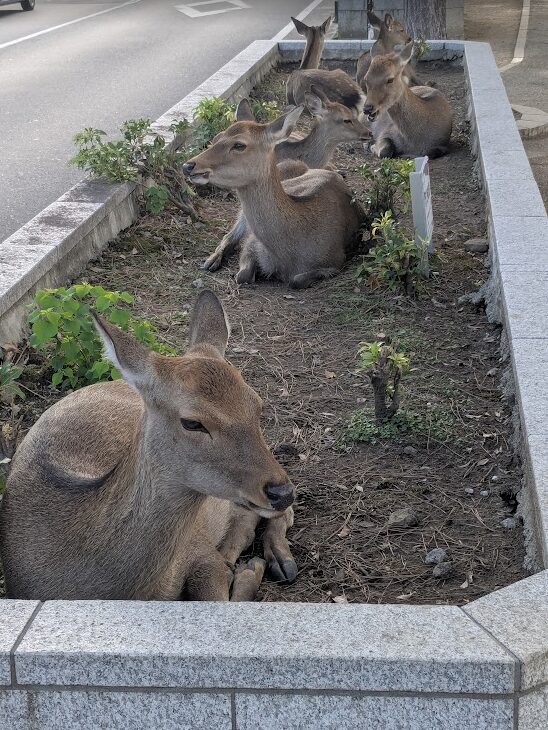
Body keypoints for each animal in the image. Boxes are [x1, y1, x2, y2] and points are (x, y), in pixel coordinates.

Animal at [0, 291, 298, 600]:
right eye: (192, 422)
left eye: (257, 404)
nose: (281, 492)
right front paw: (243, 570)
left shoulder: (199, 548)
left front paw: (246, 572)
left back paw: (277, 560)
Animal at [183, 107, 363, 288]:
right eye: (216, 138)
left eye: (239, 145)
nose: (187, 165)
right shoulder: (252, 243)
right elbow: (242, 275)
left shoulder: (336, 260)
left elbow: (295, 281)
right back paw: (211, 261)